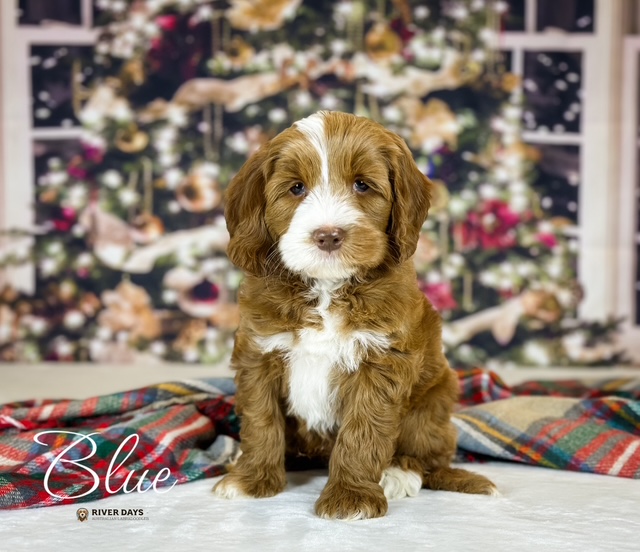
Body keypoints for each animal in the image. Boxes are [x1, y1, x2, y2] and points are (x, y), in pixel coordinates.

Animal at [213, 111, 497, 519]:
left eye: (362, 185)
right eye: (296, 188)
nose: (328, 235)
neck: (327, 288)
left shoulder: (379, 360)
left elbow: (363, 431)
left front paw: (351, 497)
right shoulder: (259, 353)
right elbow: (260, 419)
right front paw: (251, 479)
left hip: (432, 402)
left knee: (428, 458)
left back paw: (398, 473)